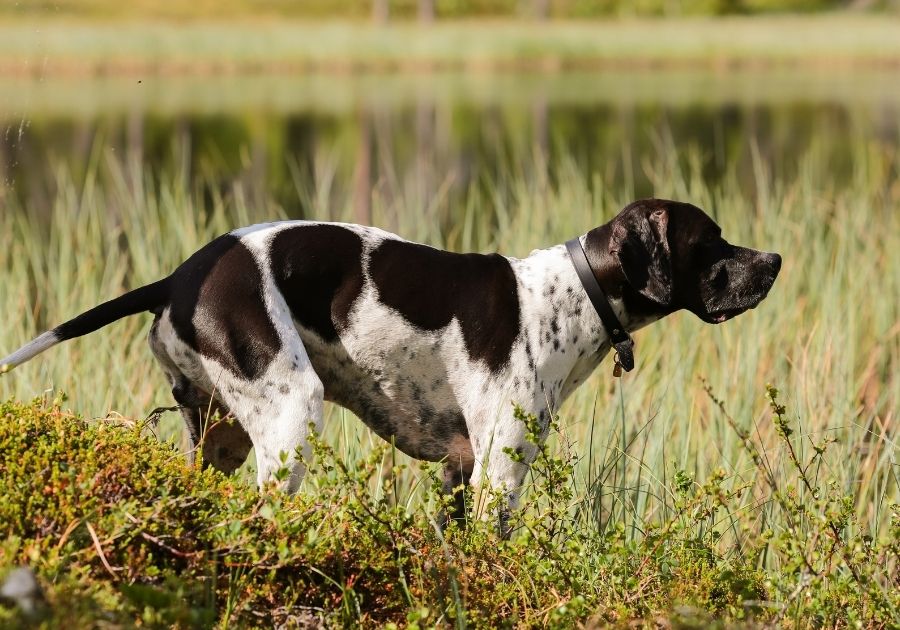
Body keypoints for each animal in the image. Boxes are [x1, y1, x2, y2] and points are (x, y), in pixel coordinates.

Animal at [0, 199, 780, 532]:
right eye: (711, 240)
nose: (773, 260)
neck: (571, 294)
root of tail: (179, 277)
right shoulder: (497, 473)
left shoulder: (460, 471)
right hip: (291, 414)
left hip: (218, 436)